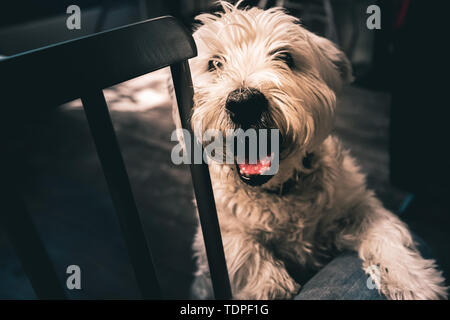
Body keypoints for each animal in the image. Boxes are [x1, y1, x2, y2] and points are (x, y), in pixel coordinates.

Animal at [171, 1, 446, 300]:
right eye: (214, 63)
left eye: (286, 57)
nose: (244, 102)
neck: (278, 193)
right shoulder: (216, 228)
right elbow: (240, 246)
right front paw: (269, 285)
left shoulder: (359, 204)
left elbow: (386, 232)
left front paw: (413, 281)